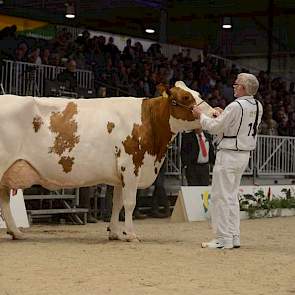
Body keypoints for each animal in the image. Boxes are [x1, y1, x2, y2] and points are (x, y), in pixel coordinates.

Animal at [0, 81, 214, 243]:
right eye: (186, 98)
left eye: (197, 93)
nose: (214, 114)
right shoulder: (131, 166)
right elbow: (129, 203)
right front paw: (131, 235)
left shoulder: (120, 175)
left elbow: (117, 203)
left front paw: (115, 233)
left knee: (4, 201)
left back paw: (16, 232)